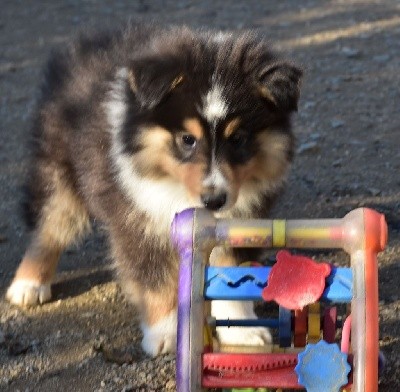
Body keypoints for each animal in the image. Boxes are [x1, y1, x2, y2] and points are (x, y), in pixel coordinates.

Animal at [6, 24, 302, 356]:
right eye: (187, 139)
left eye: (238, 138)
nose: (214, 200)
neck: (176, 187)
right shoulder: (141, 224)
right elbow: (157, 283)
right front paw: (167, 334)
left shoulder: (239, 222)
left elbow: (232, 274)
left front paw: (242, 333)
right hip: (58, 166)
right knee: (50, 224)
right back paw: (28, 285)